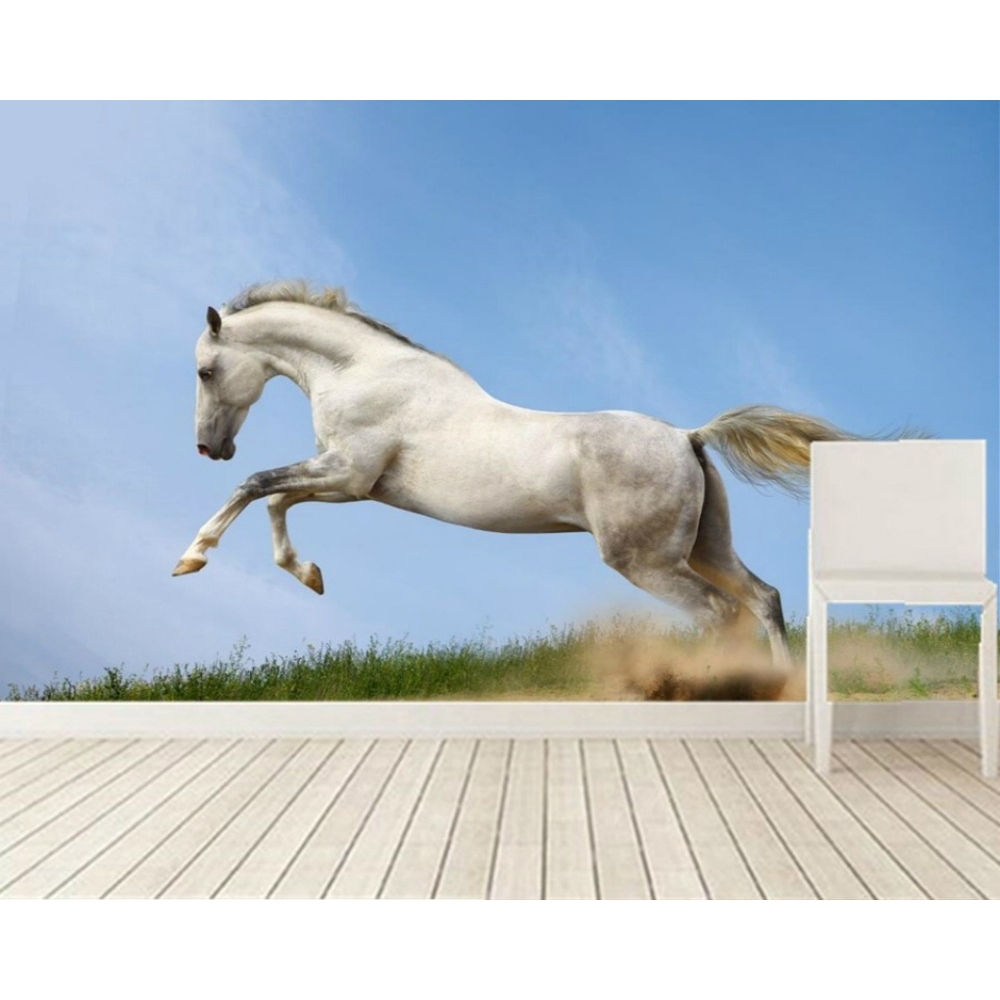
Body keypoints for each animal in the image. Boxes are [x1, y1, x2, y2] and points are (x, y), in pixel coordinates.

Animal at [173, 279, 879, 675]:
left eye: (205, 370)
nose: (209, 447)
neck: (362, 372)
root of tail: (688, 436)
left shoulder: (348, 473)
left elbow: (256, 486)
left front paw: (191, 559)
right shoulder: (351, 484)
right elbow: (275, 500)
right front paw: (310, 575)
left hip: (647, 561)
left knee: (719, 612)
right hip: (707, 547)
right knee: (763, 599)